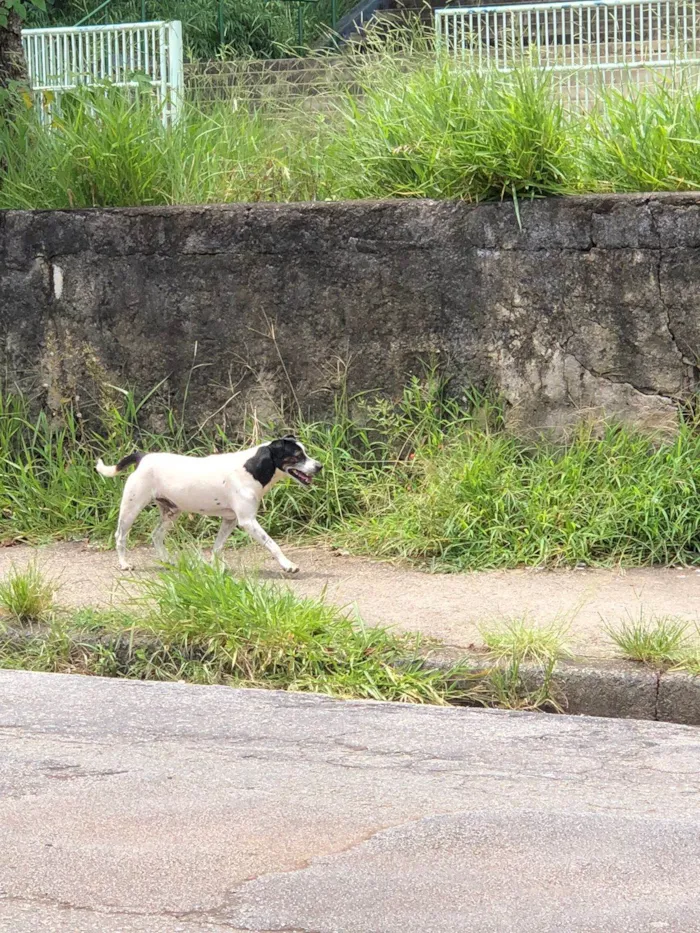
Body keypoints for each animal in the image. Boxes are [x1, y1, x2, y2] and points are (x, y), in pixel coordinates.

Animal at [94, 436, 322, 576]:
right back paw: (124, 564)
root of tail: (143, 457)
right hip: (131, 508)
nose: (320, 466)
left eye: (306, 453)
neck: (251, 468)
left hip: (171, 512)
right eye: (297, 456)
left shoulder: (230, 520)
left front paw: (216, 567)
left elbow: (217, 547)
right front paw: (288, 565)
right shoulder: (247, 521)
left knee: (156, 535)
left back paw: (168, 561)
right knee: (120, 536)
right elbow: (272, 544)